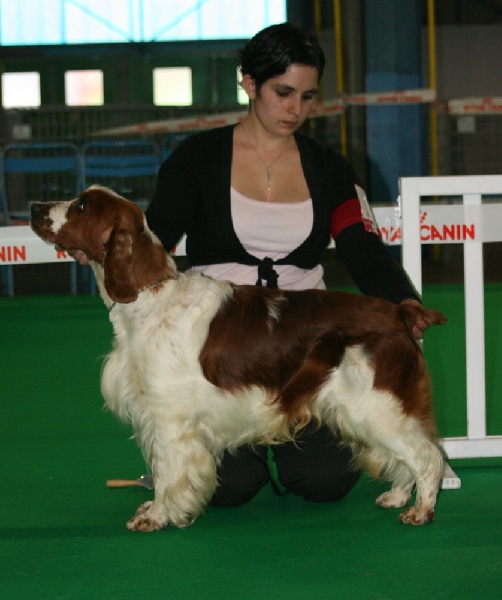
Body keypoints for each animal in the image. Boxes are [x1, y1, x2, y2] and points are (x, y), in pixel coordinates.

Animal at [31, 185, 447, 531]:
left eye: (82, 206)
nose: (35, 207)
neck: (149, 296)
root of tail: (399, 313)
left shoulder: (169, 419)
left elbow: (166, 474)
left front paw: (157, 516)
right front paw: (153, 510)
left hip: (374, 406)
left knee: (427, 456)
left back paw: (421, 511)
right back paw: (397, 496)